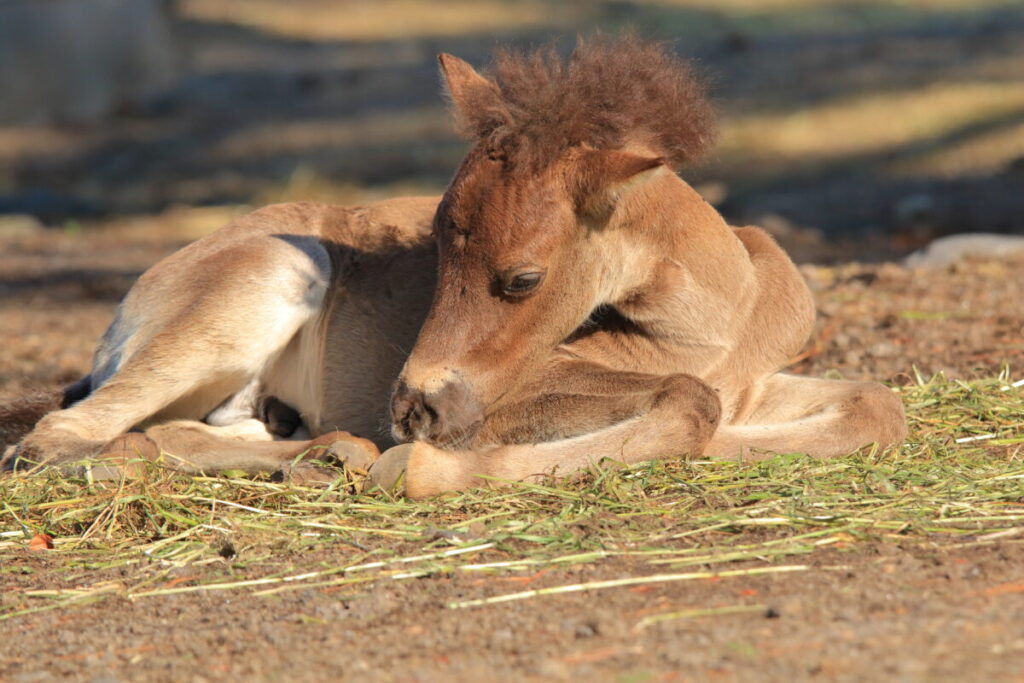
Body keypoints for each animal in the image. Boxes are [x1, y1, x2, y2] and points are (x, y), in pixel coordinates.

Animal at [2, 36, 906, 498]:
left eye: (523, 278)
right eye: (437, 245)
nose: (413, 409)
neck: (718, 320)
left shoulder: (757, 377)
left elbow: (874, 404)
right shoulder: (518, 397)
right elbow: (691, 403)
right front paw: (426, 466)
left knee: (176, 431)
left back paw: (335, 452)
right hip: (266, 281)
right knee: (66, 432)